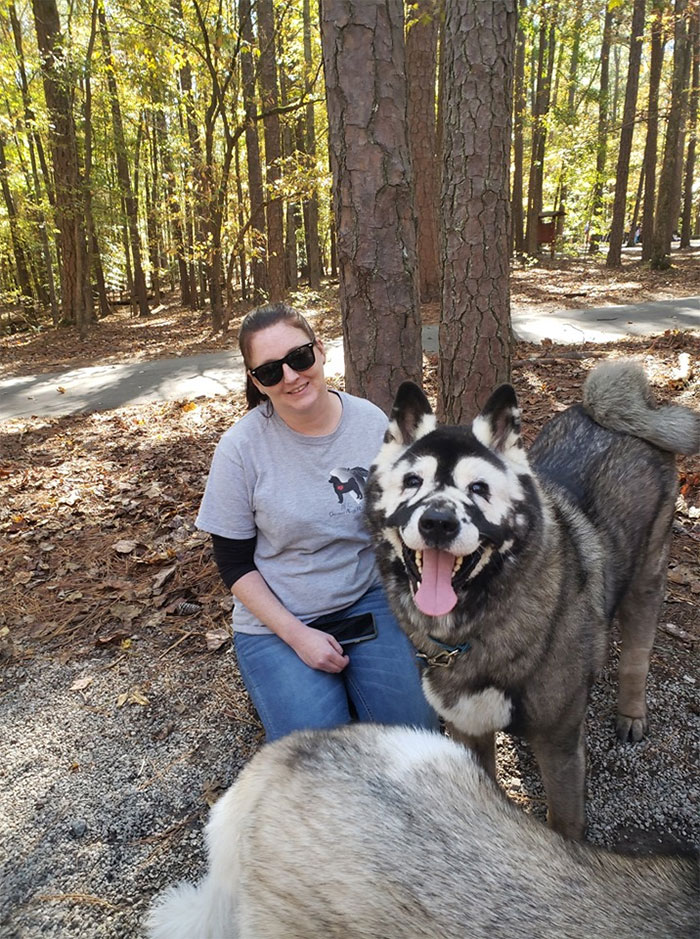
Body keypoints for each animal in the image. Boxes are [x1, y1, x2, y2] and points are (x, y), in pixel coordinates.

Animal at [366, 364, 700, 840]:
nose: (437, 522)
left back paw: (631, 712)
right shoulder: (469, 730)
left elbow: (563, 823)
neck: (476, 628)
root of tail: (608, 411)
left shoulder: (559, 746)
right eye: (413, 482)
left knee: (637, 655)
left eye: (479, 488)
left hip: (646, 581)